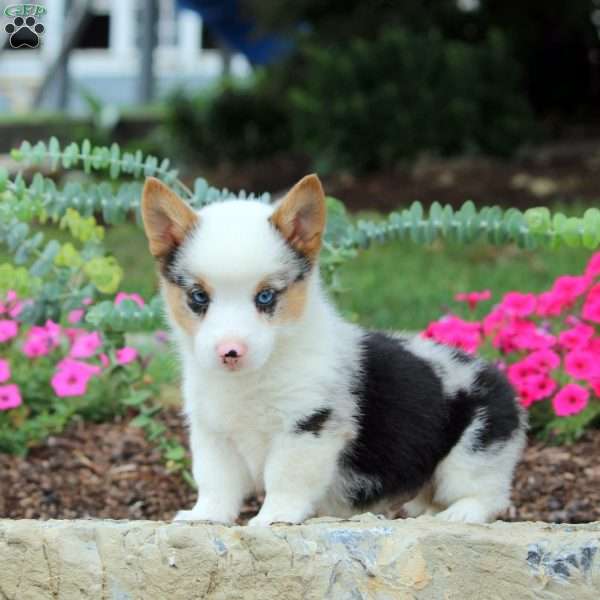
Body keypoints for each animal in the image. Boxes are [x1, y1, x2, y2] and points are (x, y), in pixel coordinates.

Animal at [141, 172, 524, 524]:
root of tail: (500, 381)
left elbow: (284, 481)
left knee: (486, 495)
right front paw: (202, 517)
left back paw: (459, 515)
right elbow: (215, 484)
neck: (252, 378)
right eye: (198, 297)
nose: (229, 352)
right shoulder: (213, 435)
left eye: (265, 296)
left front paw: (272, 518)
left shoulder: (307, 427)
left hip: (475, 450)